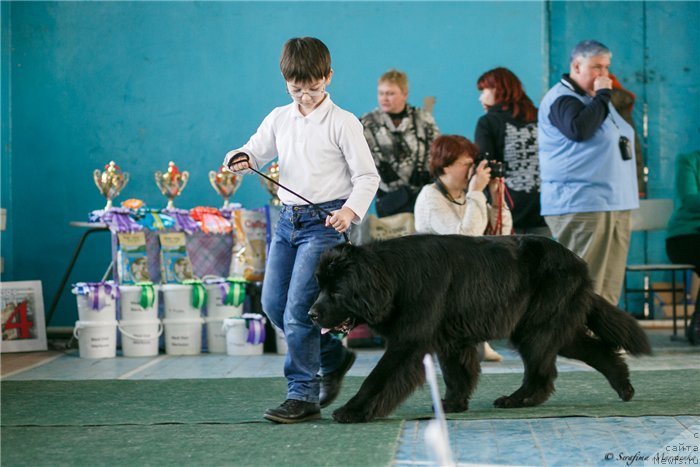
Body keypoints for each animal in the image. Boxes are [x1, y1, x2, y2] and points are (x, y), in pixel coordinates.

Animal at [308, 234, 652, 424]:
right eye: (319, 286)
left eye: (336, 291)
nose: (311, 313)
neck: (395, 277)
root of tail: (578, 263)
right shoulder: (449, 338)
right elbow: (457, 373)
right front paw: (453, 404)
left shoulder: (409, 341)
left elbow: (378, 378)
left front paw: (352, 411)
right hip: (550, 324)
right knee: (593, 349)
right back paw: (624, 385)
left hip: (536, 327)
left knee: (542, 371)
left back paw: (518, 399)